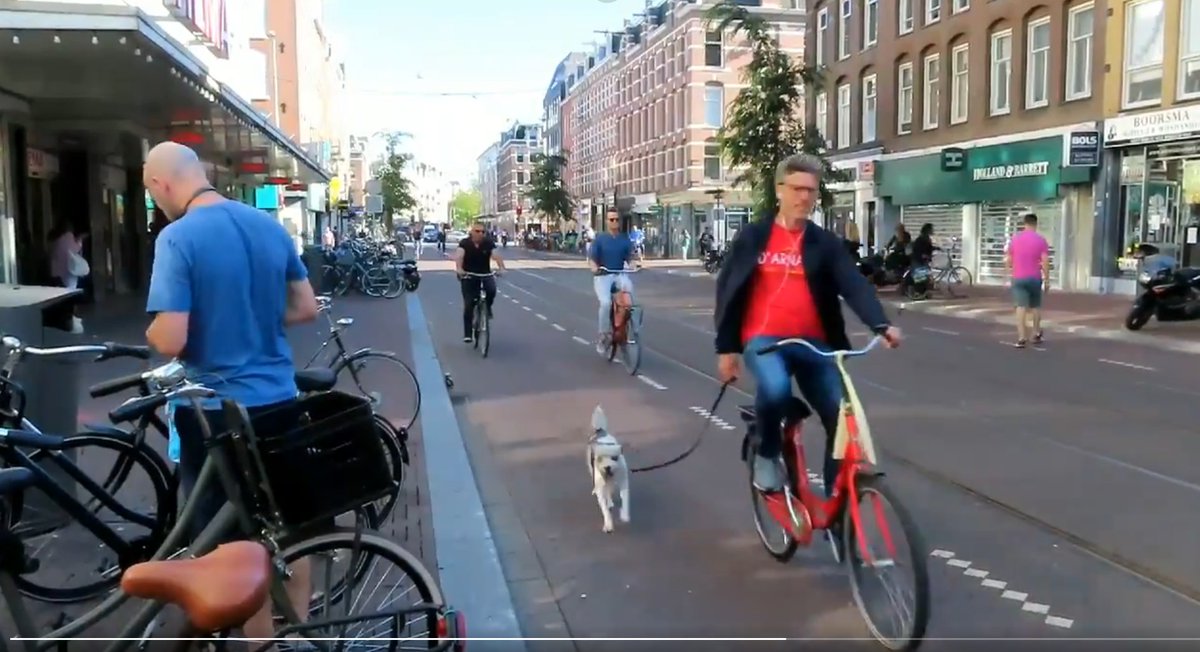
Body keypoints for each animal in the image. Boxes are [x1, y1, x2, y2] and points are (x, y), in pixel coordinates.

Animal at [588, 405, 633, 533]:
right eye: (600, 459)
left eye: (614, 457)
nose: (607, 467)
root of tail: (600, 431)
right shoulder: (600, 485)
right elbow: (604, 508)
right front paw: (608, 524)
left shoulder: (623, 482)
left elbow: (625, 499)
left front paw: (624, 515)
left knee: (609, 489)